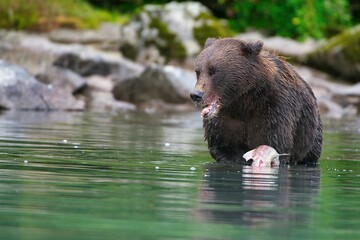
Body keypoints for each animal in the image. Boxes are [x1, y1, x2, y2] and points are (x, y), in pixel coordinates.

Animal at [191, 38, 324, 165]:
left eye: (213, 71)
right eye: (198, 71)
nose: (196, 95)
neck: (243, 101)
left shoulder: (274, 108)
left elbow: (275, 142)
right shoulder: (224, 119)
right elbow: (223, 146)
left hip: (310, 136)